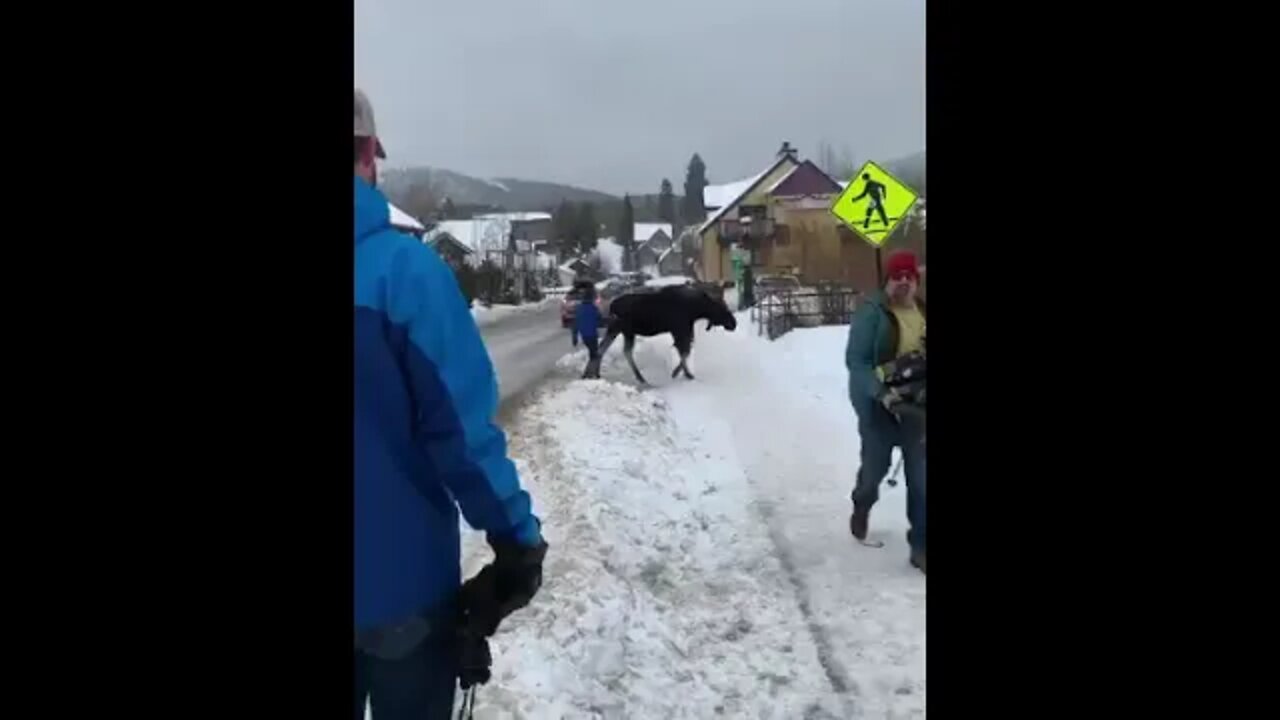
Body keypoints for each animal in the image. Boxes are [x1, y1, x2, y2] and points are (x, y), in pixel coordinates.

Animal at [583, 281, 742, 384]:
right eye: (721, 307)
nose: (733, 323)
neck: (696, 309)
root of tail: (611, 306)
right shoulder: (679, 330)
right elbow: (684, 351)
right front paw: (681, 373)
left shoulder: (683, 331)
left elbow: (685, 350)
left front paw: (684, 373)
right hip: (626, 330)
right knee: (623, 351)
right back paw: (639, 377)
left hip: (617, 330)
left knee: (602, 348)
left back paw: (592, 374)